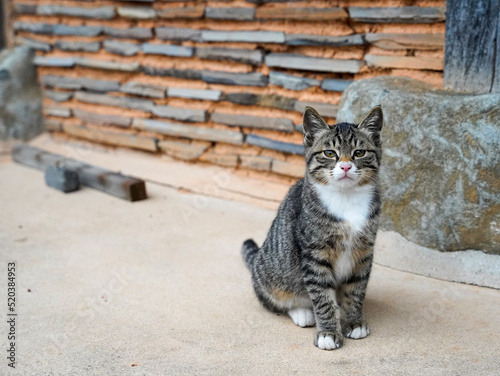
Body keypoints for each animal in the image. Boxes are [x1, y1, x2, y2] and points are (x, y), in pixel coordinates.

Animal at [242, 105, 382, 350]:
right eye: (330, 153)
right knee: (279, 300)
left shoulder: (364, 251)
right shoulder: (314, 254)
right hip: (271, 276)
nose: (346, 166)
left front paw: (354, 321)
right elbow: (322, 296)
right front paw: (328, 332)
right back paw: (303, 312)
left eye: (359, 153)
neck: (346, 199)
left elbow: (356, 290)